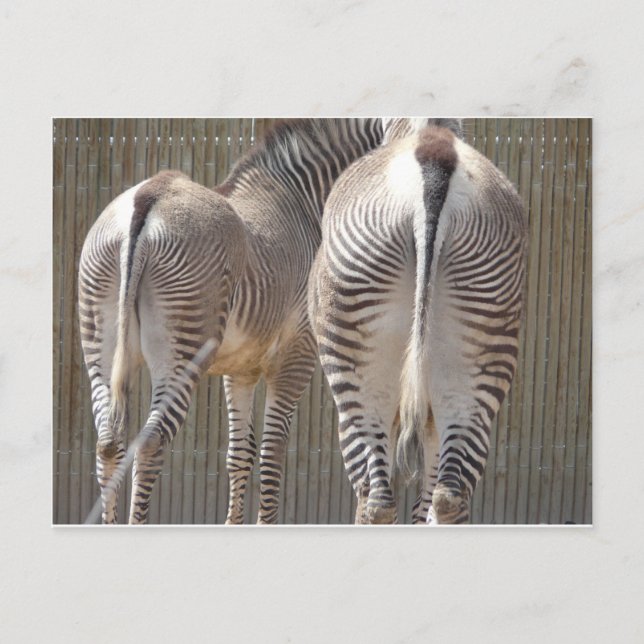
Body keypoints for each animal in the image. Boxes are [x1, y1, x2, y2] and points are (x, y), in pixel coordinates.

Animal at [78, 118, 391, 525]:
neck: (303, 202)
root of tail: (149, 196)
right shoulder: (296, 356)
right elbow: (273, 451)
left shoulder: (241, 368)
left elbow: (240, 453)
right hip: (184, 349)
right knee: (149, 442)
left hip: (99, 339)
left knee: (108, 443)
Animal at [308, 122, 527, 524]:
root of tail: (434, 161)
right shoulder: (431, 416)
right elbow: (426, 496)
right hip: (482, 353)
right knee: (449, 497)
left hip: (356, 373)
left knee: (376, 499)